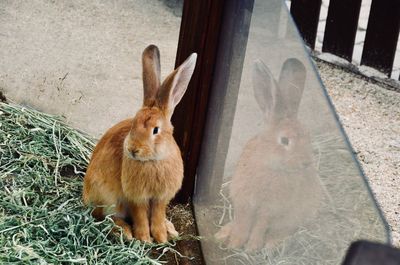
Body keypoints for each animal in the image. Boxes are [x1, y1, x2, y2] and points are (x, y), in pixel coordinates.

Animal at [83, 44, 197, 241]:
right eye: (133, 124)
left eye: (156, 130)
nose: (133, 149)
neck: (153, 162)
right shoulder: (136, 197)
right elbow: (141, 216)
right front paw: (145, 239)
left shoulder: (160, 198)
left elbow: (157, 216)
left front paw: (161, 238)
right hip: (109, 200)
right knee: (103, 216)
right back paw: (126, 232)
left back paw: (171, 230)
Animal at [216, 57, 322, 250]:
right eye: (285, 140)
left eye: (308, 135)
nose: (306, 163)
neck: (268, 164)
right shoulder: (244, 202)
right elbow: (242, 223)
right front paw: (234, 243)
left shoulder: (270, 209)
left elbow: (260, 225)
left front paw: (251, 247)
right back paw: (223, 233)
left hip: (296, 216)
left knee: (284, 230)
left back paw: (272, 244)